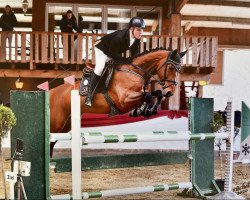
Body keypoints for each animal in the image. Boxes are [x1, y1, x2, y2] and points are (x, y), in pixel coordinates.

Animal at [48, 48, 186, 155]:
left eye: (179, 69)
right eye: (170, 67)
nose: (170, 92)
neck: (135, 72)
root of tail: (50, 93)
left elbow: (155, 94)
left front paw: (144, 111)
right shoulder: (124, 101)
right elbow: (148, 95)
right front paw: (144, 111)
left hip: (65, 125)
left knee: (52, 142)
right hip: (56, 124)